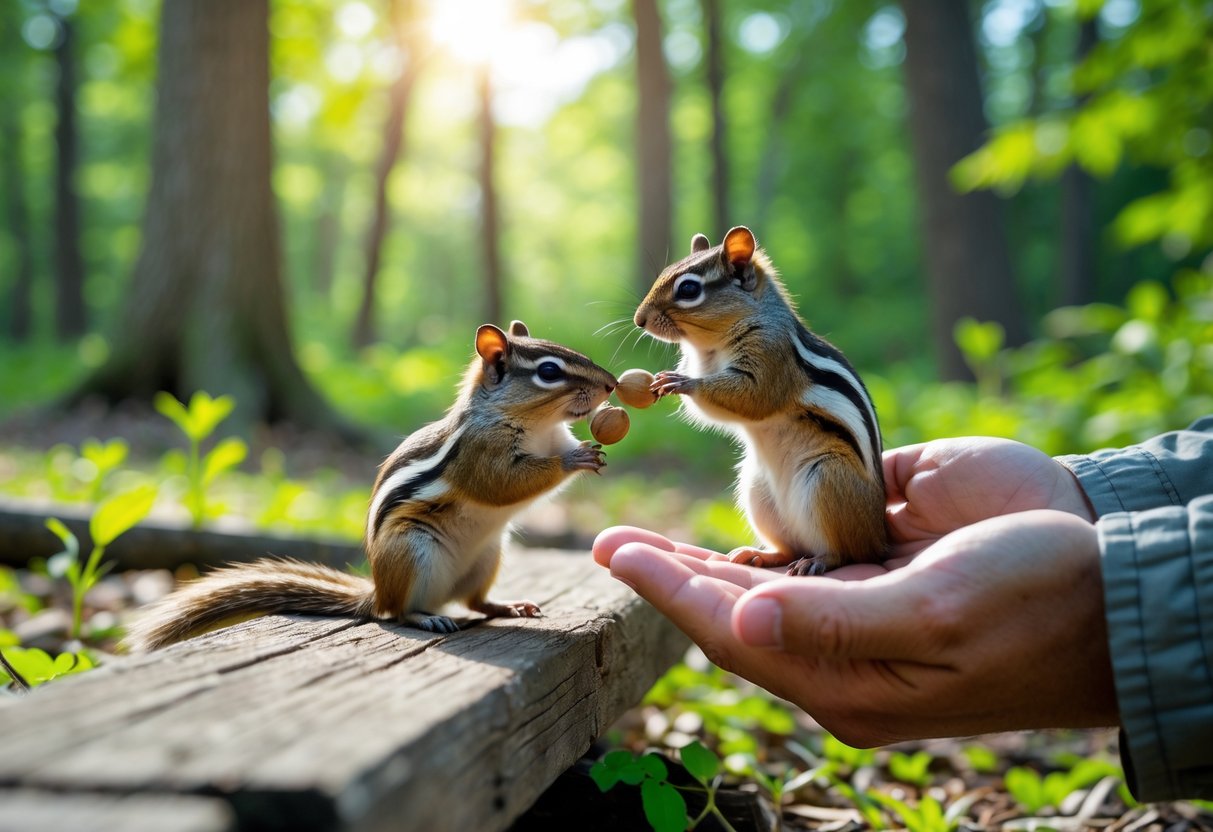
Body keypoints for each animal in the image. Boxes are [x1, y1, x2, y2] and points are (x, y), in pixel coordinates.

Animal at [124, 321, 617, 651]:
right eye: (549, 372)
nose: (612, 384)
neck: (537, 428)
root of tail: (376, 590)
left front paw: (592, 455)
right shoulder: (480, 454)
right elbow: (503, 484)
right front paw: (574, 460)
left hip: (488, 557)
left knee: (474, 601)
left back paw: (506, 607)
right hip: (411, 551)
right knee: (398, 612)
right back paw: (426, 619)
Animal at [633, 226, 886, 575]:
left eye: (688, 289)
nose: (639, 320)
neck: (710, 349)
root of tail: (881, 535)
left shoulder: (770, 355)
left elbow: (755, 397)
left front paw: (684, 383)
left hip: (827, 478)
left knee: (849, 553)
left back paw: (819, 560)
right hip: (757, 491)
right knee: (791, 548)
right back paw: (761, 555)